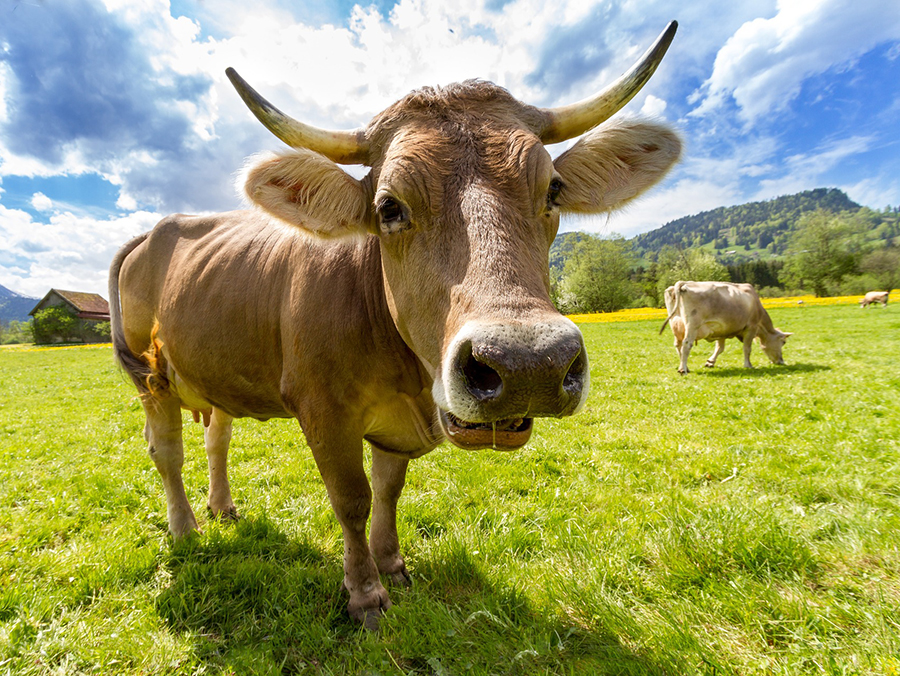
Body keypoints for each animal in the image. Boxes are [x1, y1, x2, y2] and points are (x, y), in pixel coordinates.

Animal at [107, 26, 684, 628]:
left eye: (552, 189)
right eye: (388, 206)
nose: (529, 364)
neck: (407, 376)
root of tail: (157, 228)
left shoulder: (394, 426)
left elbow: (388, 491)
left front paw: (393, 566)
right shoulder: (322, 409)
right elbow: (352, 499)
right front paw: (364, 593)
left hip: (214, 369)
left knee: (216, 436)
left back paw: (222, 508)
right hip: (151, 378)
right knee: (167, 451)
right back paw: (185, 529)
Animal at [656, 280, 792, 374]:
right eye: (783, 342)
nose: (781, 361)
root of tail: (684, 283)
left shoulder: (721, 330)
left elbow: (720, 348)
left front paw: (710, 362)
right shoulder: (751, 327)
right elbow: (747, 348)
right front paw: (748, 365)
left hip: (676, 326)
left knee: (678, 345)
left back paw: (685, 367)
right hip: (692, 326)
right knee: (686, 344)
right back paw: (683, 369)